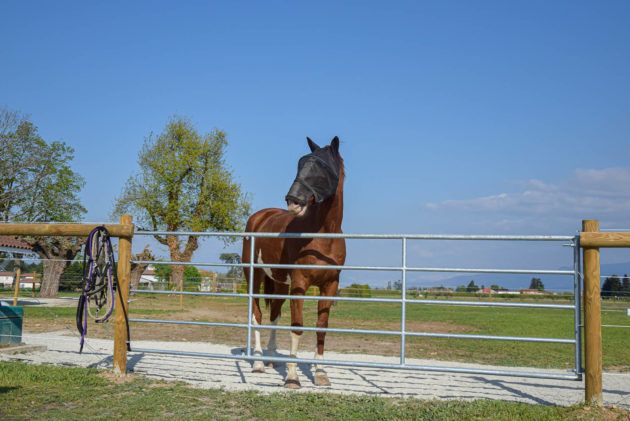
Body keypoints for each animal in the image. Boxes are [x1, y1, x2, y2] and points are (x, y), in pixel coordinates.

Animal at [242, 136, 348, 388]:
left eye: (322, 167)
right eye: (300, 164)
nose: (293, 201)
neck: (322, 237)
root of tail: (259, 217)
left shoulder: (330, 285)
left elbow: (321, 328)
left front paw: (321, 374)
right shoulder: (300, 284)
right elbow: (297, 327)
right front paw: (292, 377)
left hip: (280, 283)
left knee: (274, 315)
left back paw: (272, 359)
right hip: (255, 277)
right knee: (257, 316)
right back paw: (258, 362)